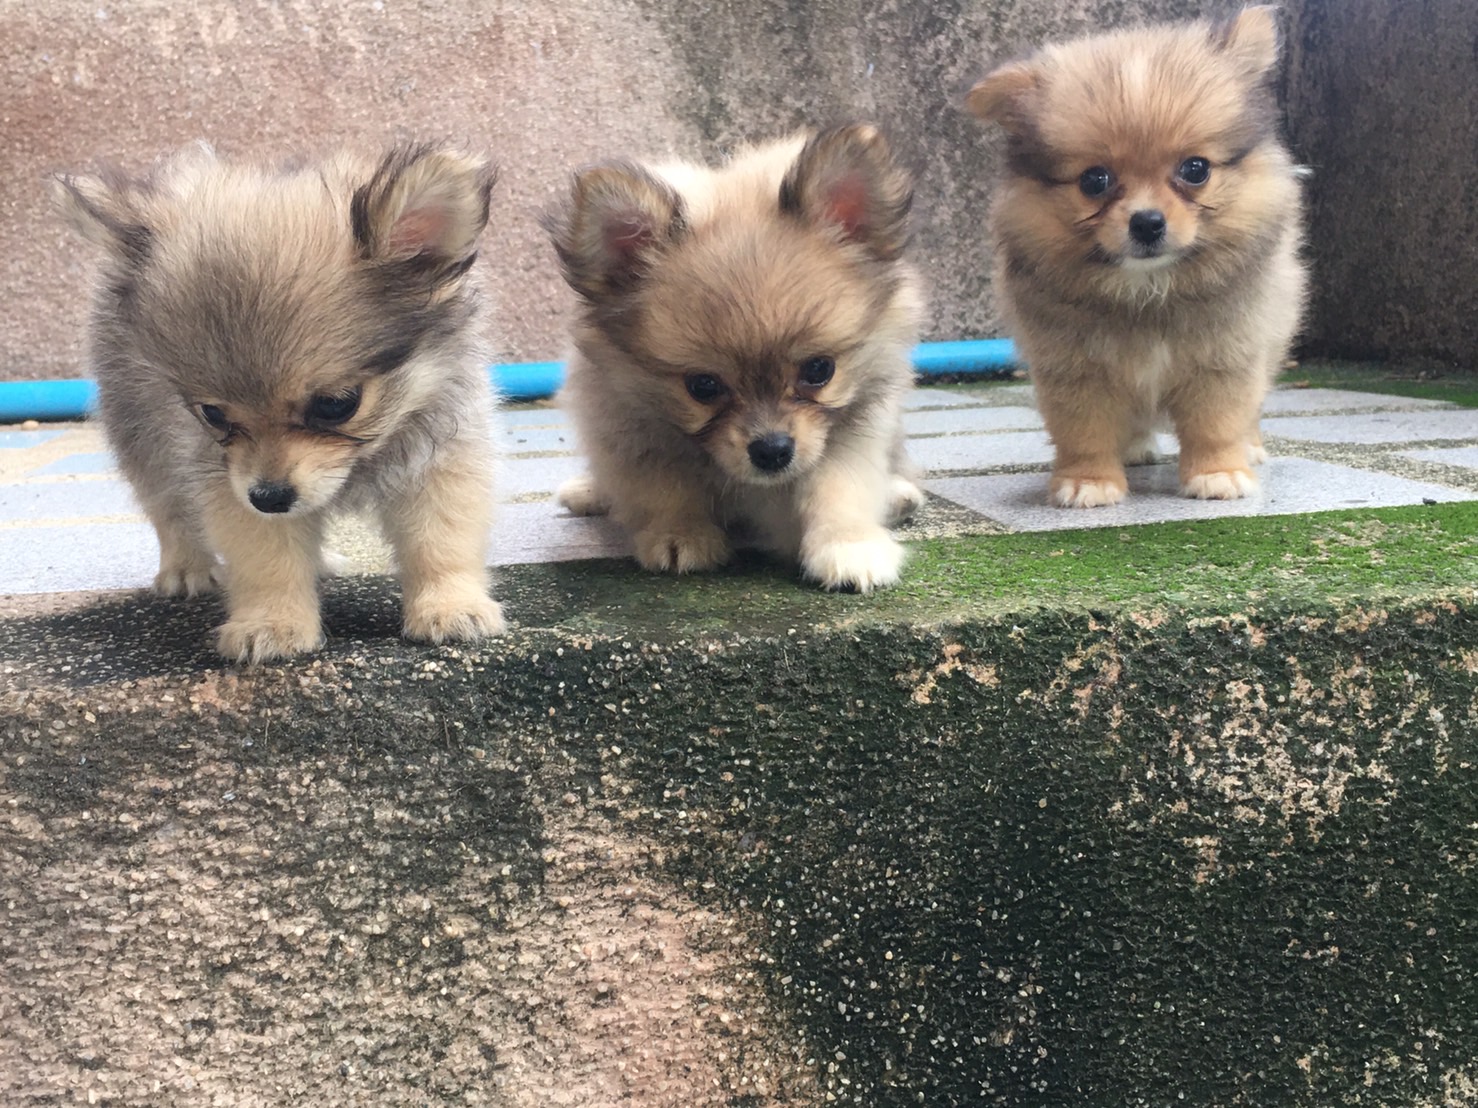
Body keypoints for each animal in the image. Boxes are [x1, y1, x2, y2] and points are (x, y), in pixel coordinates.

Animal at [53, 142, 506, 662]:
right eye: (212, 413)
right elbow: (267, 559)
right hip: (144, 441)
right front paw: (272, 624)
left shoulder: (438, 461)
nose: (269, 497)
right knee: (170, 512)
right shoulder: (228, 479)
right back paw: (186, 568)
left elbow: (440, 543)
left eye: (337, 403)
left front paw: (450, 606)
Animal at [546, 124, 925, 592]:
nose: (772, 450)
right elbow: (665, 490)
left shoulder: (851, 433)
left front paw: (849, 545)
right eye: (703, 386)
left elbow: (840, 488)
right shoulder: (635, 432)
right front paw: (680, 533)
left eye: (819, 369)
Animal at [967, 6, 1307, 507]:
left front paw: (1219, 473)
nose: (1147, 222)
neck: (1147, 290)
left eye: (1195, 169)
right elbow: (1084, 432)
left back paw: (1250, 449)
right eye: (1094, 180)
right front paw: (1089, 481)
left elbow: (1217, 423)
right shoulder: (1072, 370)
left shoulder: (1225, 358)